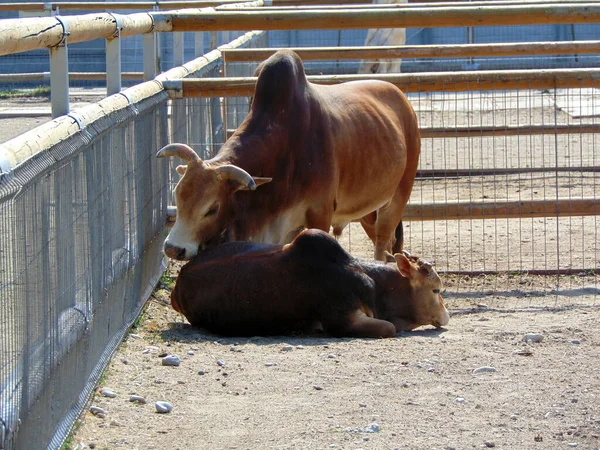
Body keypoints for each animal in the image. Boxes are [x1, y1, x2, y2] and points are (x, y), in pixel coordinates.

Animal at [159, 48, 422, 260]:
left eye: (212, 208)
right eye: (177, 196)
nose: (173, 249)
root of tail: (402, 100)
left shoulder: (319, 213)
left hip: (399, 195)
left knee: (382, 243)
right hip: (368, 209)